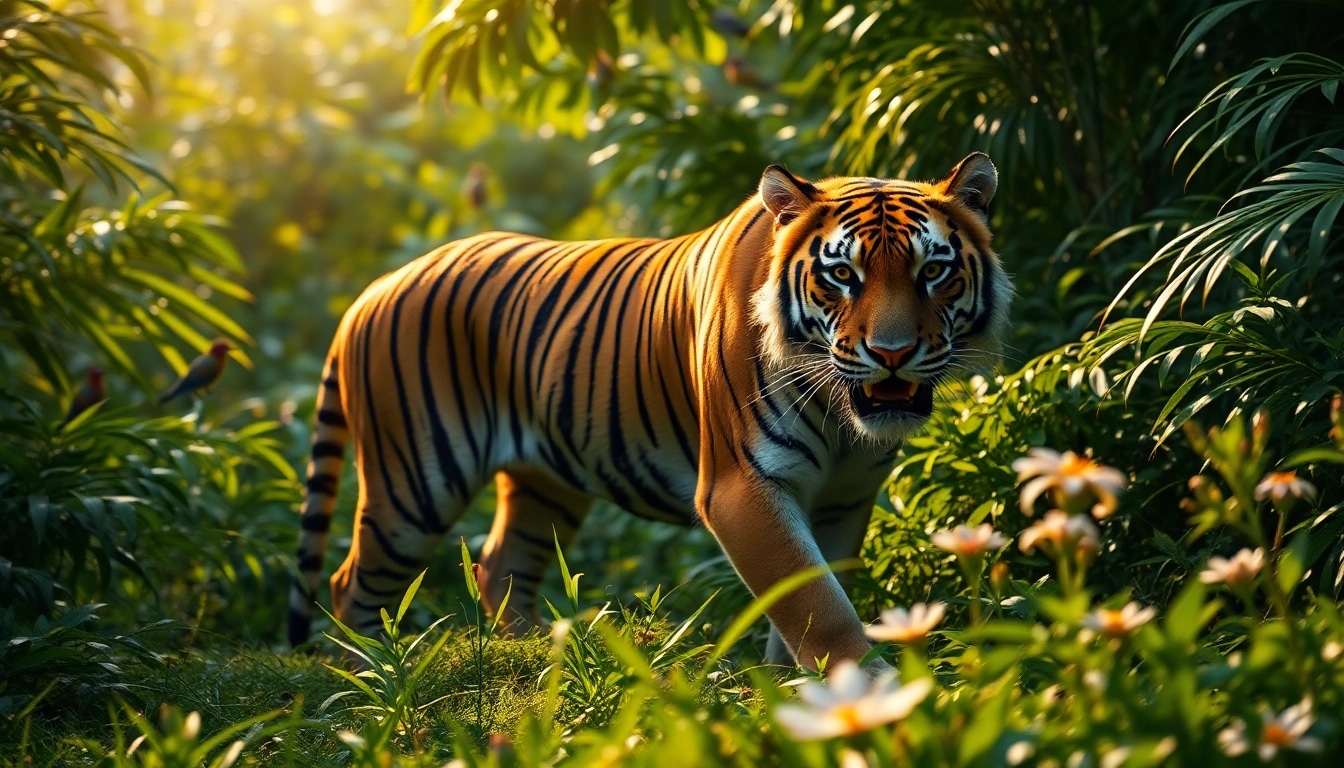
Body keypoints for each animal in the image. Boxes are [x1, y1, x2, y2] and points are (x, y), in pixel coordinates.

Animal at [289, 153, 1009, 672]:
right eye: (842, 276)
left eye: (932, 271)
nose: (892, 354)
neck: (842, 418)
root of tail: (373, 289)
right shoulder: (742, 487)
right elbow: (816, 602)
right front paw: (873, 691)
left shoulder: (844, 497)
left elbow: (809, 597)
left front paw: (792, 687)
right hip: (413, 487)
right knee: (349, 582)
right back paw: (368, 676)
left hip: (544, 484)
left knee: (501, 565)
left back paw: (532, 653)